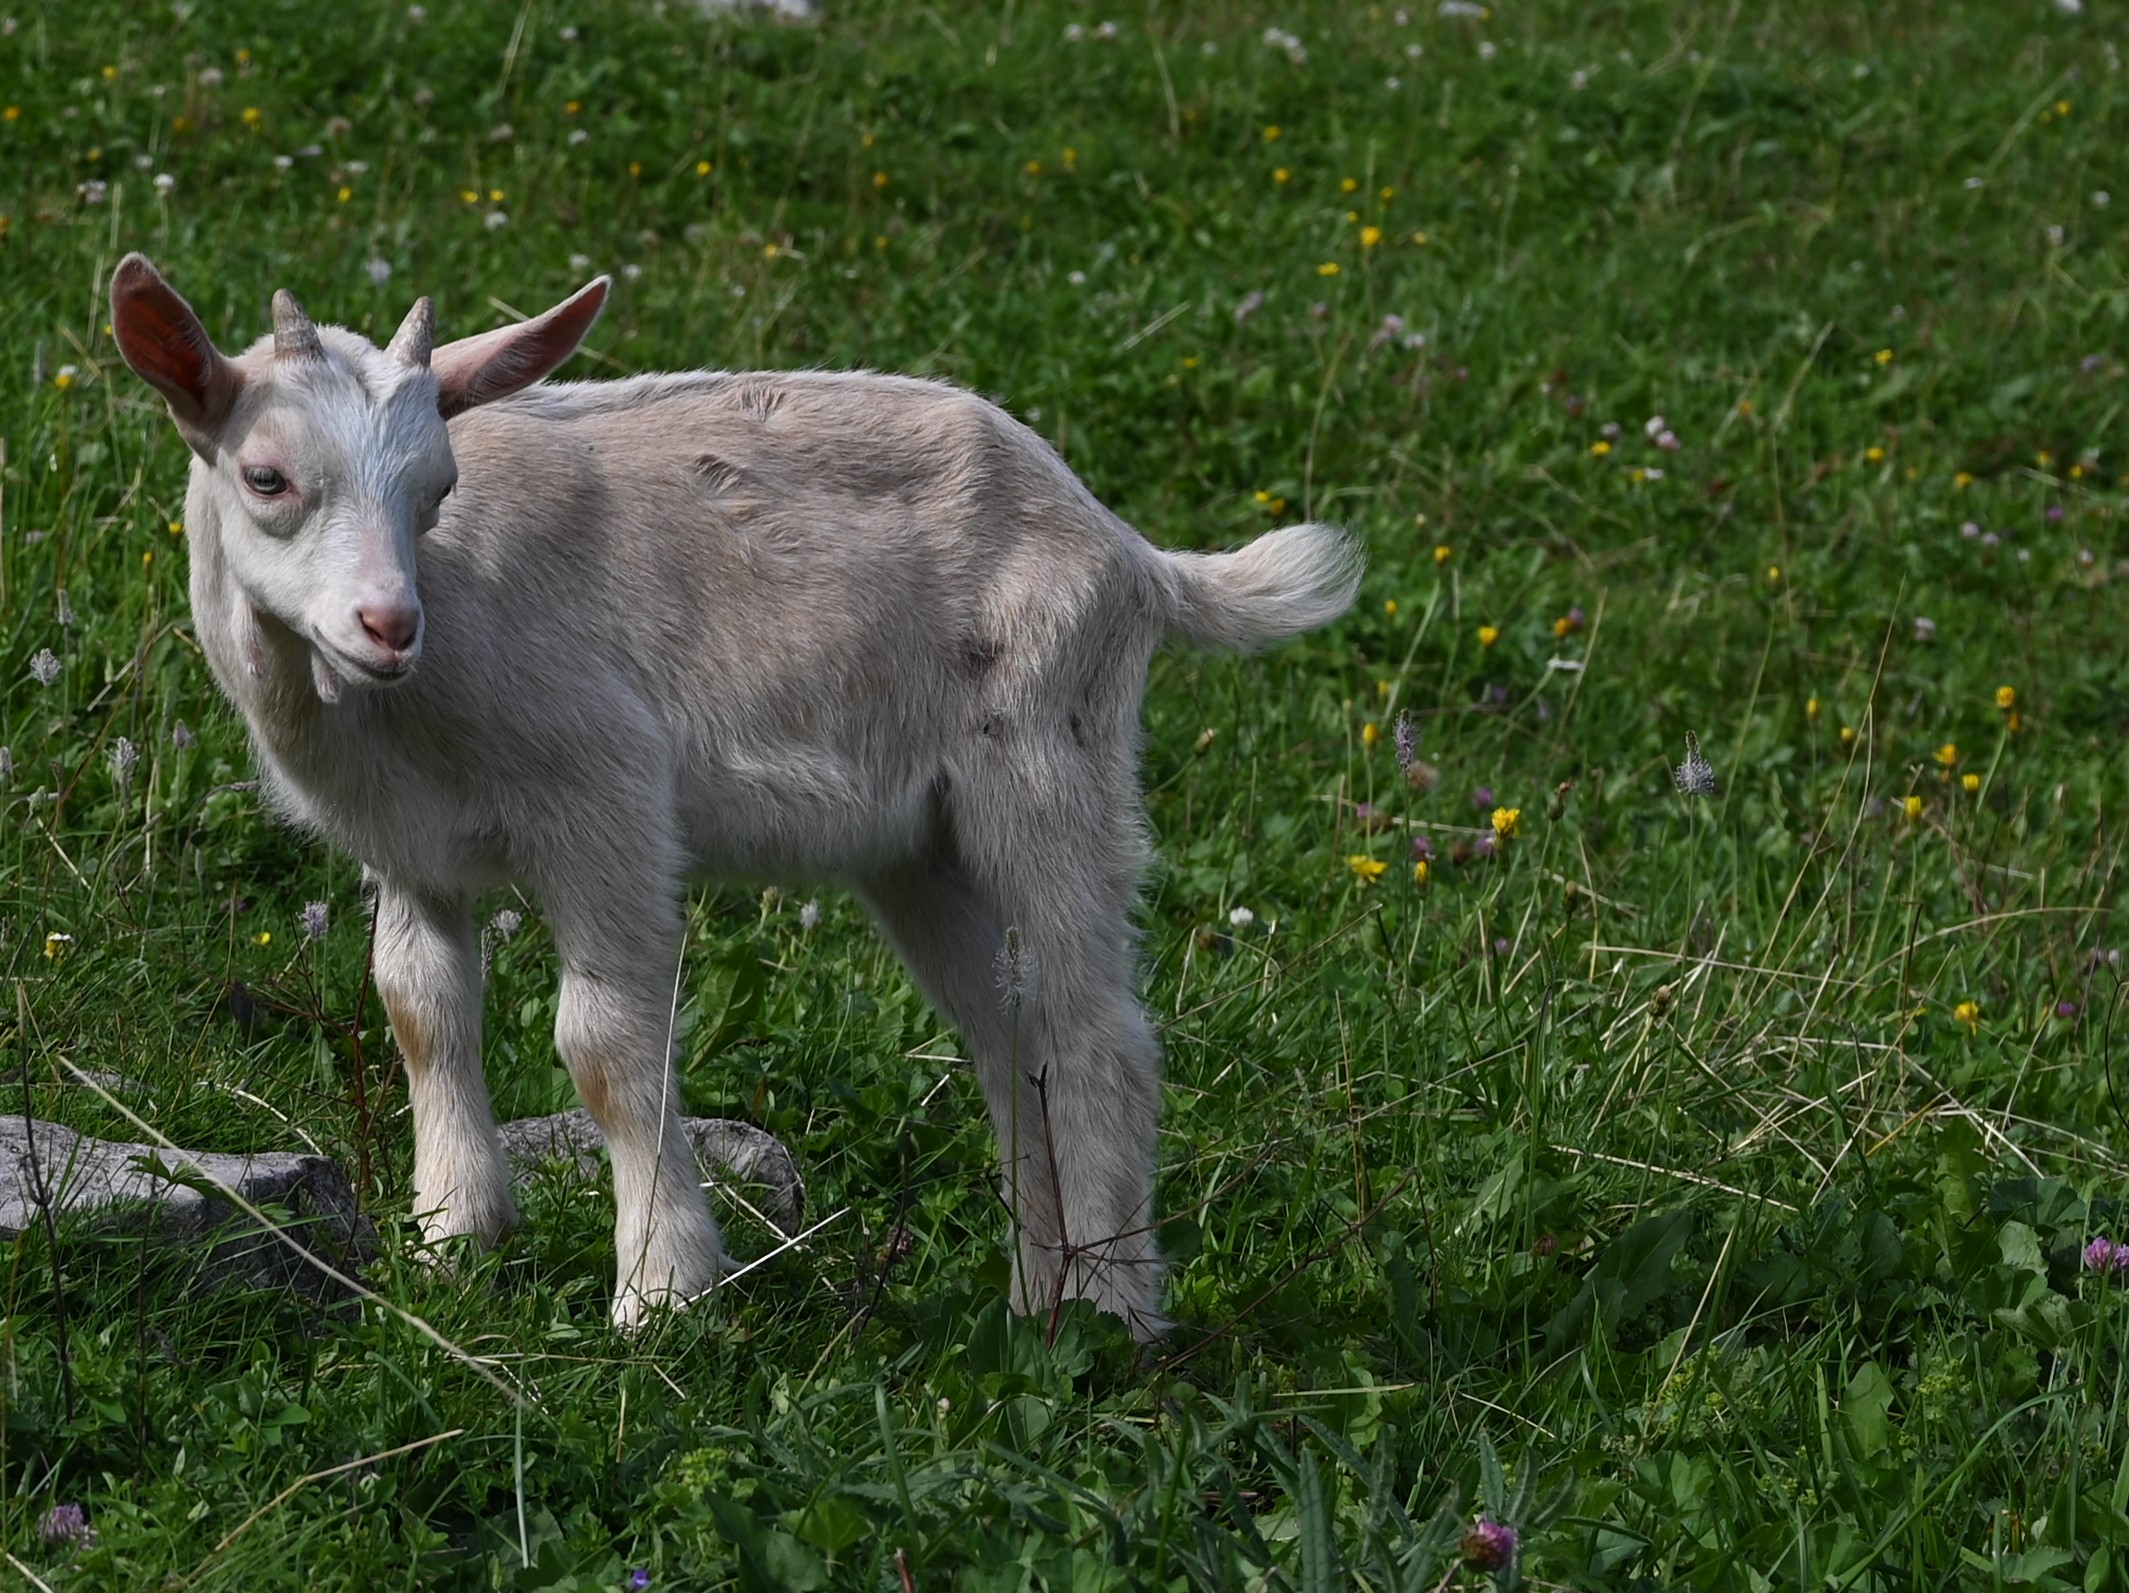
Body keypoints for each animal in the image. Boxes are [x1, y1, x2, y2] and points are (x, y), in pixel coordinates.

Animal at [108, 253, 1361, 1336]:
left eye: (437, 486)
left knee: (1094, 1029)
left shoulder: (604, 792)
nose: (387, 624)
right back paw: (1031, 1301)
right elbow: (420, 1008)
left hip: (1047, 752)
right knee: (1009, 1039)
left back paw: (1108, 1316)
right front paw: (453, 1239)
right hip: (920, 845)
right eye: (266, 477)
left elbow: (604, 1043)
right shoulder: (407, 846)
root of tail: (1131, 554)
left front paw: (662, 1292)